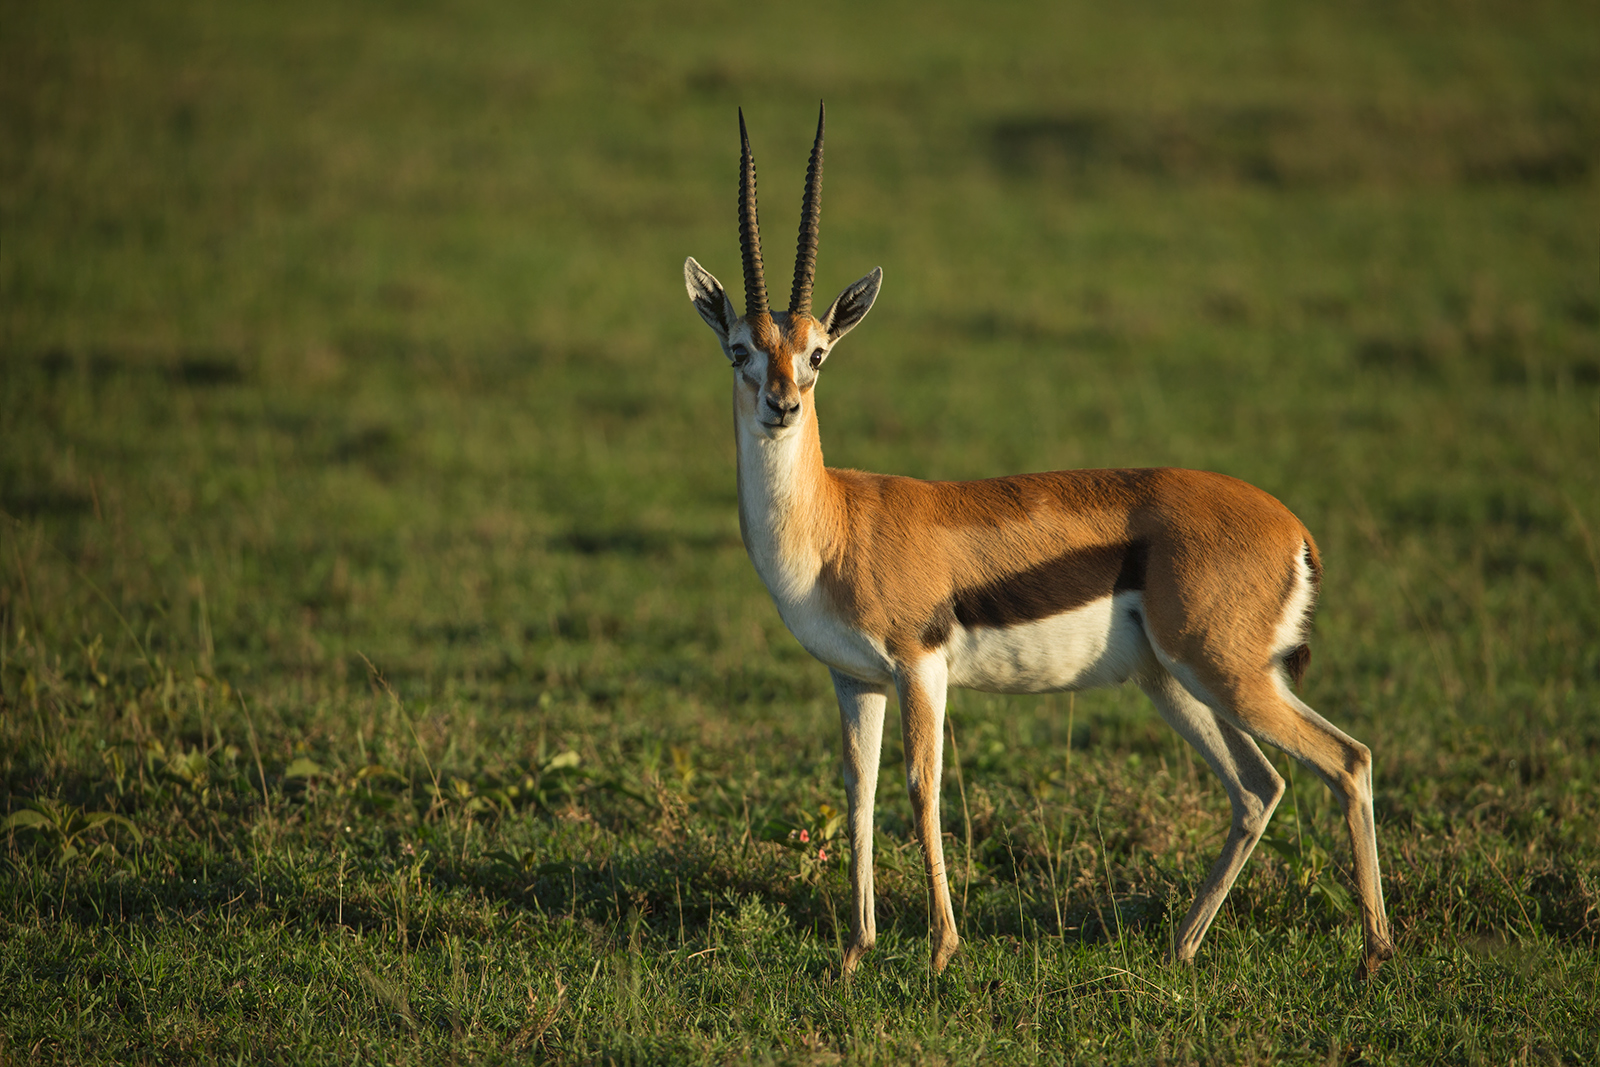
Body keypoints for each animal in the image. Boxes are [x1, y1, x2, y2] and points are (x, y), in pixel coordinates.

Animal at [683, 105, 1395, 980]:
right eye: (741, 349)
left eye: (818, 351)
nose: (782, 404)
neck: (835, 524)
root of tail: (1292, 527)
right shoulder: (855, 680)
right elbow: (859, 794)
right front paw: (853, 953)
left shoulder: (920, 666)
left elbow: (922, 789)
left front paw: (940, 953)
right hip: (1177, 680)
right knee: (1260, 786)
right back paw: (1181, 947)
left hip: (1224, 673)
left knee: (1347, 760)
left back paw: (1374, 951)